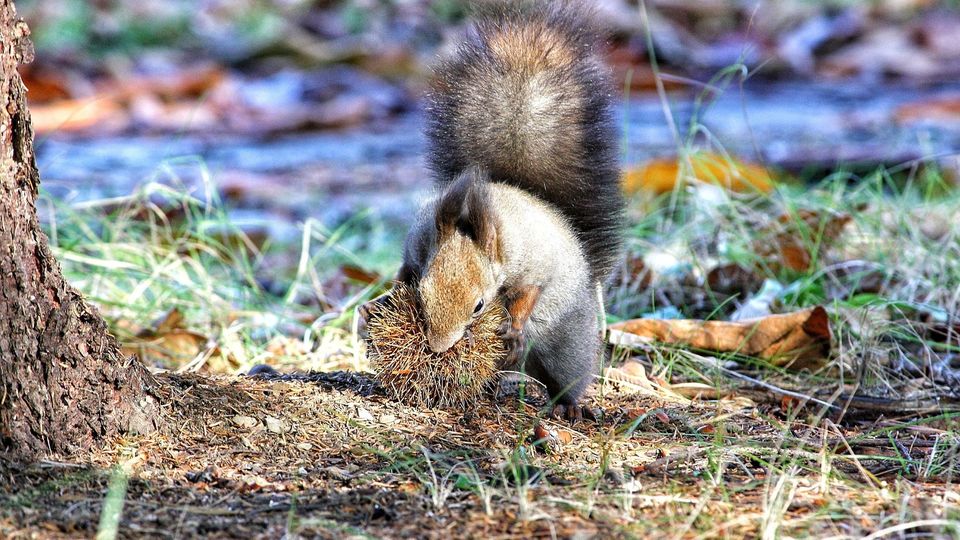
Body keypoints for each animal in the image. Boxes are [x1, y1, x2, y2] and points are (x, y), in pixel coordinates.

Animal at [367, 0, 624, 420]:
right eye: (422, 295)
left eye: (479, 307)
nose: (438, 348)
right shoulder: (416, 246)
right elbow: (403, 271)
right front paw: (382, 300)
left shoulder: (533, 265)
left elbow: (527, 294)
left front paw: (514, 328)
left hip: (568, 343)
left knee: (566, 375)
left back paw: (567, 403)